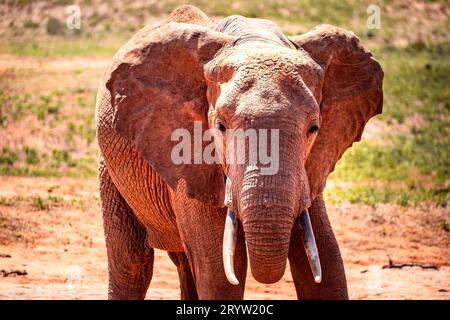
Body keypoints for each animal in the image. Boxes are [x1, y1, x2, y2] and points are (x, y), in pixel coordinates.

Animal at [96, 5, 384, 300]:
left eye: (314, 128)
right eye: (220, 127)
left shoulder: (309, 169)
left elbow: (328, 262)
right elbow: (218, 274)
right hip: (110, 171)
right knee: (131, 265)